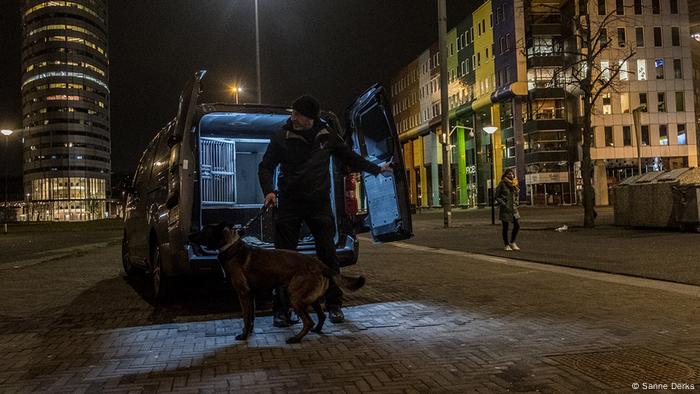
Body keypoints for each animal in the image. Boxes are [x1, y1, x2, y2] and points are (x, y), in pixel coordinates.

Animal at [189, 223, 370, 344]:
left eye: (204, 230)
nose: (190, 235)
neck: (230, 245)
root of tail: (320, 264)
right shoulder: (250, 295)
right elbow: (251, 317)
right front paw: (249, 333)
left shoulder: (243, 293)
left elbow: (246, 318)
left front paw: (243, 336)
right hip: (311, 298)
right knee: (321, 316)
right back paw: (317, 330)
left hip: (294, 296)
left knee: (308, 321)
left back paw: (296, 338)